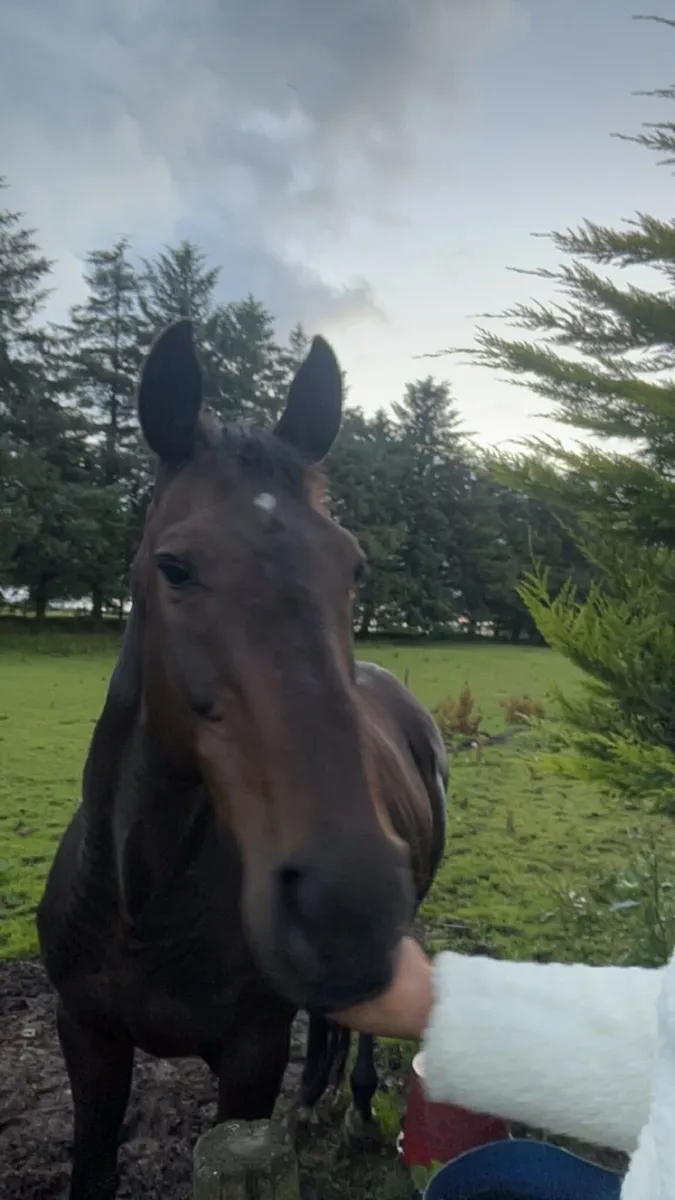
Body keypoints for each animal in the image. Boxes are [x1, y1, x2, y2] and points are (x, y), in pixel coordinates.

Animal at [36, 320, 448, 1200]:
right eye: (175, 566)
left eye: (352, 566)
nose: (346, 897)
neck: (139, 902)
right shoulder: (85, 1035)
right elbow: (92, 1159)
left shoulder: (250, 1057)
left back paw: (354, 1110)